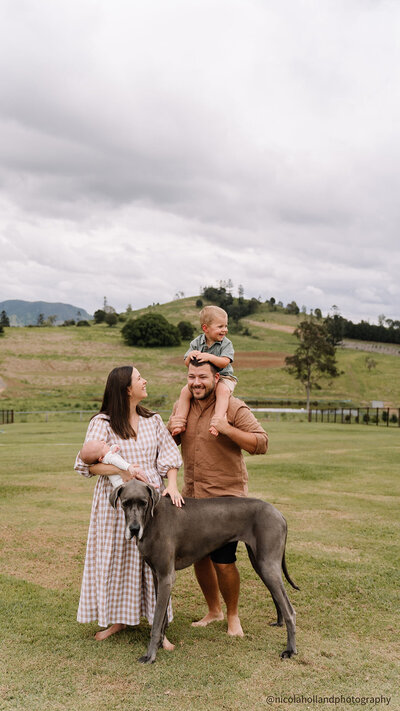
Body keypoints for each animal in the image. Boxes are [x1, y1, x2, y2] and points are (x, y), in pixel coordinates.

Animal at [108, 482, 296, 664]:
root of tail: (279, 514)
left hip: (267, 565)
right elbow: (162, 618)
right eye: (125, 503)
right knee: (278, 596)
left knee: (290, 610)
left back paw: (290, 650)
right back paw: (279, 623)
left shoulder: (166, 577)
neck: (151, 519)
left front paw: (150, 655)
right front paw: (162, 644)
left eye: (144, 503)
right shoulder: (157, 576)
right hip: (261, 564)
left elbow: (156, 621)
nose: (134, 529)